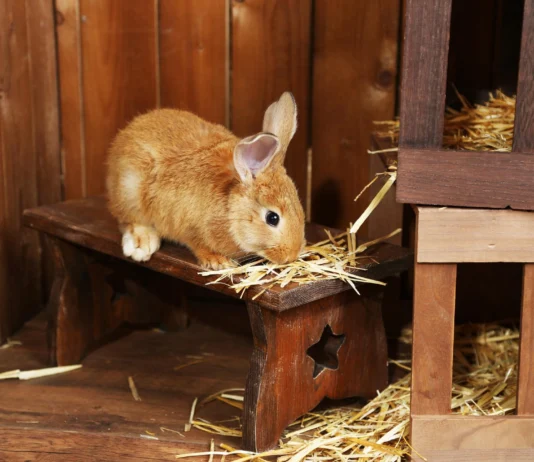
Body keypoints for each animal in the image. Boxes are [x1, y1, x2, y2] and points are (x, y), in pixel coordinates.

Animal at [105, 91, 306, 268]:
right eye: (272, 218)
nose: (291, 255)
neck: (230, 208)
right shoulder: (187, 225)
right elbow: (197, 244)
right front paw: (217, 261)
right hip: (129, 191)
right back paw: (142, 244)